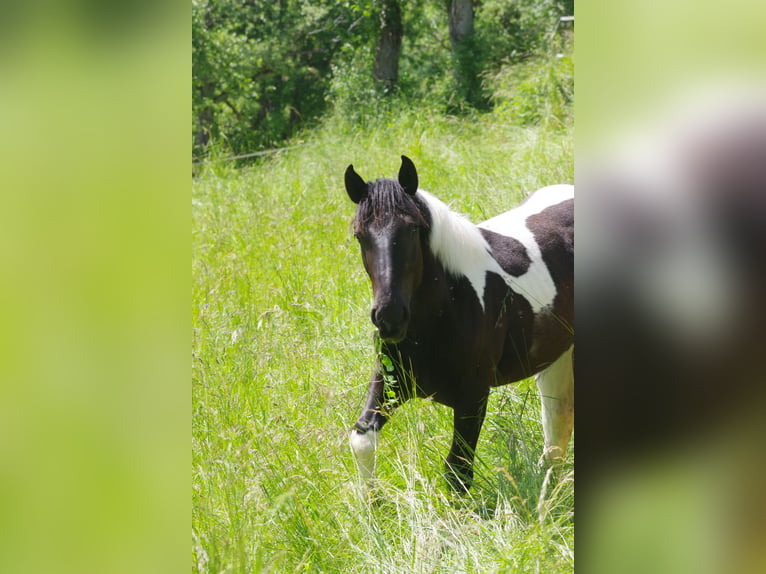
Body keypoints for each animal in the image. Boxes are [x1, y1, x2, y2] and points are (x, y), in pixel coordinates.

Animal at [348, 156, 576, 490]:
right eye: (359, 235)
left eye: (413, 229)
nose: (389, 318)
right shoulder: (391, 380)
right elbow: (362, 440)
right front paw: (373, 502)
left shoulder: (473, 397)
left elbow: (458, 471)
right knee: (557, 426)